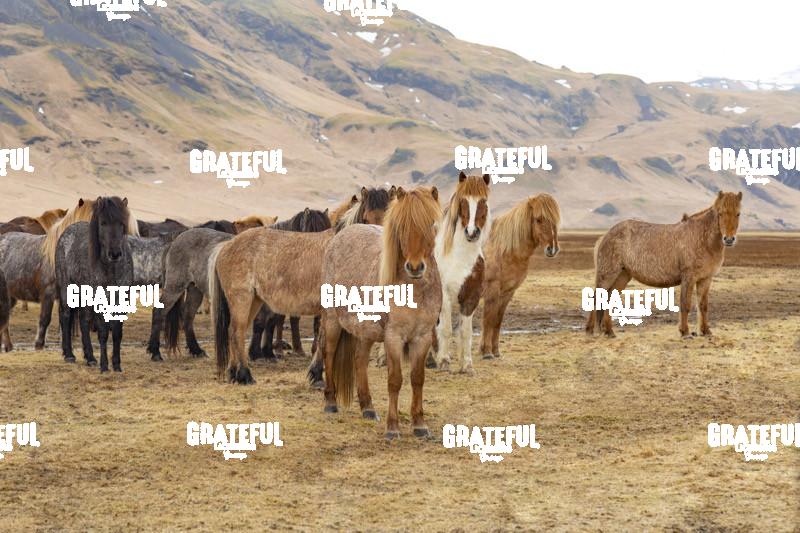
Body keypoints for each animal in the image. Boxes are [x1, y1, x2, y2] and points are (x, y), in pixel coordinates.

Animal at [55, 197, 134, 372]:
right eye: (103, 223)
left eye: (121, 223)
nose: (115, 254)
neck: (111, 269)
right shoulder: (99, 301)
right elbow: (103, 332)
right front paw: (104, 366)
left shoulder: (120, 301)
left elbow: (117, 333)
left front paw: (117, 365)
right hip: (67, 289)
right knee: (66, 317)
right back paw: (69, 354)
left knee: (83, 321)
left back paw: (90, 357)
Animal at [320, 186, 442, 439]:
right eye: (401, 226)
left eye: (431, 224)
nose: (415, 267)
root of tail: (338, 238)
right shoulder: (393, 337)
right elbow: (395, 380)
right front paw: (393, 427)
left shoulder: (422, 337)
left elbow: (417, 379)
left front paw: (420, 424)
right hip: (332, 322)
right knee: (329, 353)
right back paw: (330, 402)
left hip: (365, 331)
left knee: (359, 360)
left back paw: (368, 407)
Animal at [428, 172, 491, 374]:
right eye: (463, 200)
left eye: (483, 201)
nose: (472, 232)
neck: (460, 257)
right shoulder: (445, 297)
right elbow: (446, 329)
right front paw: (444, 361)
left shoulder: (472, 297)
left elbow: (466, 332)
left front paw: (467, 365)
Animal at [479, 194, 561, 359]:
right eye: (538, 219)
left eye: (555, 219)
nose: (553, 249)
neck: (503, 250)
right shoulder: (492, 291)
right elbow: (488, 320)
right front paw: (487, 352)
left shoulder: (507, 292)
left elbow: (497, 321)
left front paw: (496, 351)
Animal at [586, 191, 742, 339]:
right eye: (720, 213)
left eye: (738, 214)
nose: (729, 239)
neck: (702, 239)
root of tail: (605, 236)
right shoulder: (689, 278)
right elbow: (685, 304)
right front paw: (685, 332)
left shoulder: (705, 279)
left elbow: (703, 306)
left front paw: (706, 332)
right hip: (607, 275)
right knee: (596, 298)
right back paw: (590, 330)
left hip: (622, 276)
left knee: (609, 299)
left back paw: (609, 332)